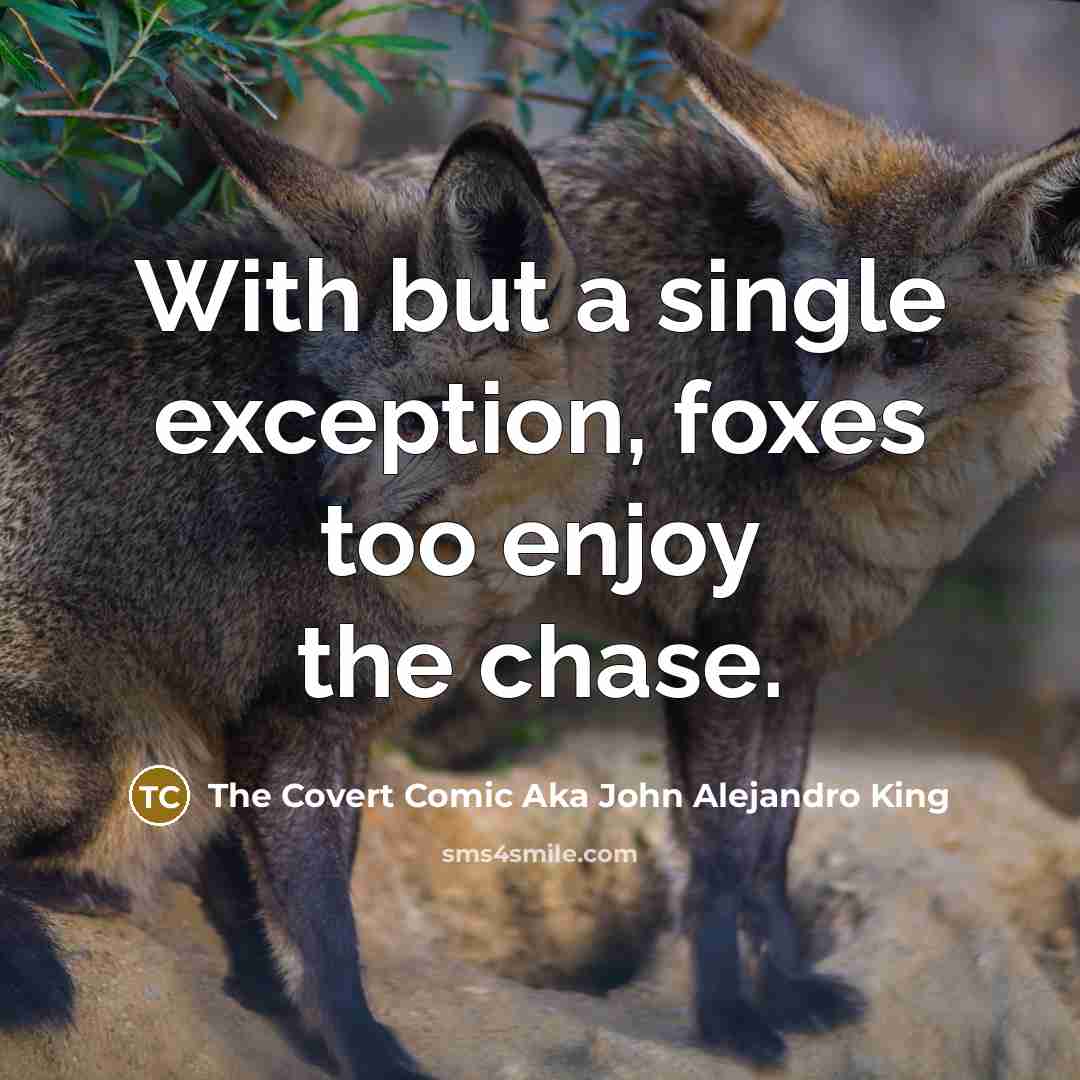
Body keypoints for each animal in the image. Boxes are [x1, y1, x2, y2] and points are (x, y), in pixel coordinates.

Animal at [0, 74, 611, 1079]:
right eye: (325, 406)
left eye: (422, 417)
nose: (327, 503)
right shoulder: (288, 717)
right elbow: (327, 932)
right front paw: (362, 1045)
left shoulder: (331, 722)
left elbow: (292, 903)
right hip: (130, 757)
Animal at [364, 11, 1080, 1066]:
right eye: (817, 327)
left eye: (911, 347)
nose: (811, 440)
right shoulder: (712, 652)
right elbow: (718, 857)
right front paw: (729, 1018)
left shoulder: (797, 657)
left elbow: (770, 850)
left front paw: (786, 989)